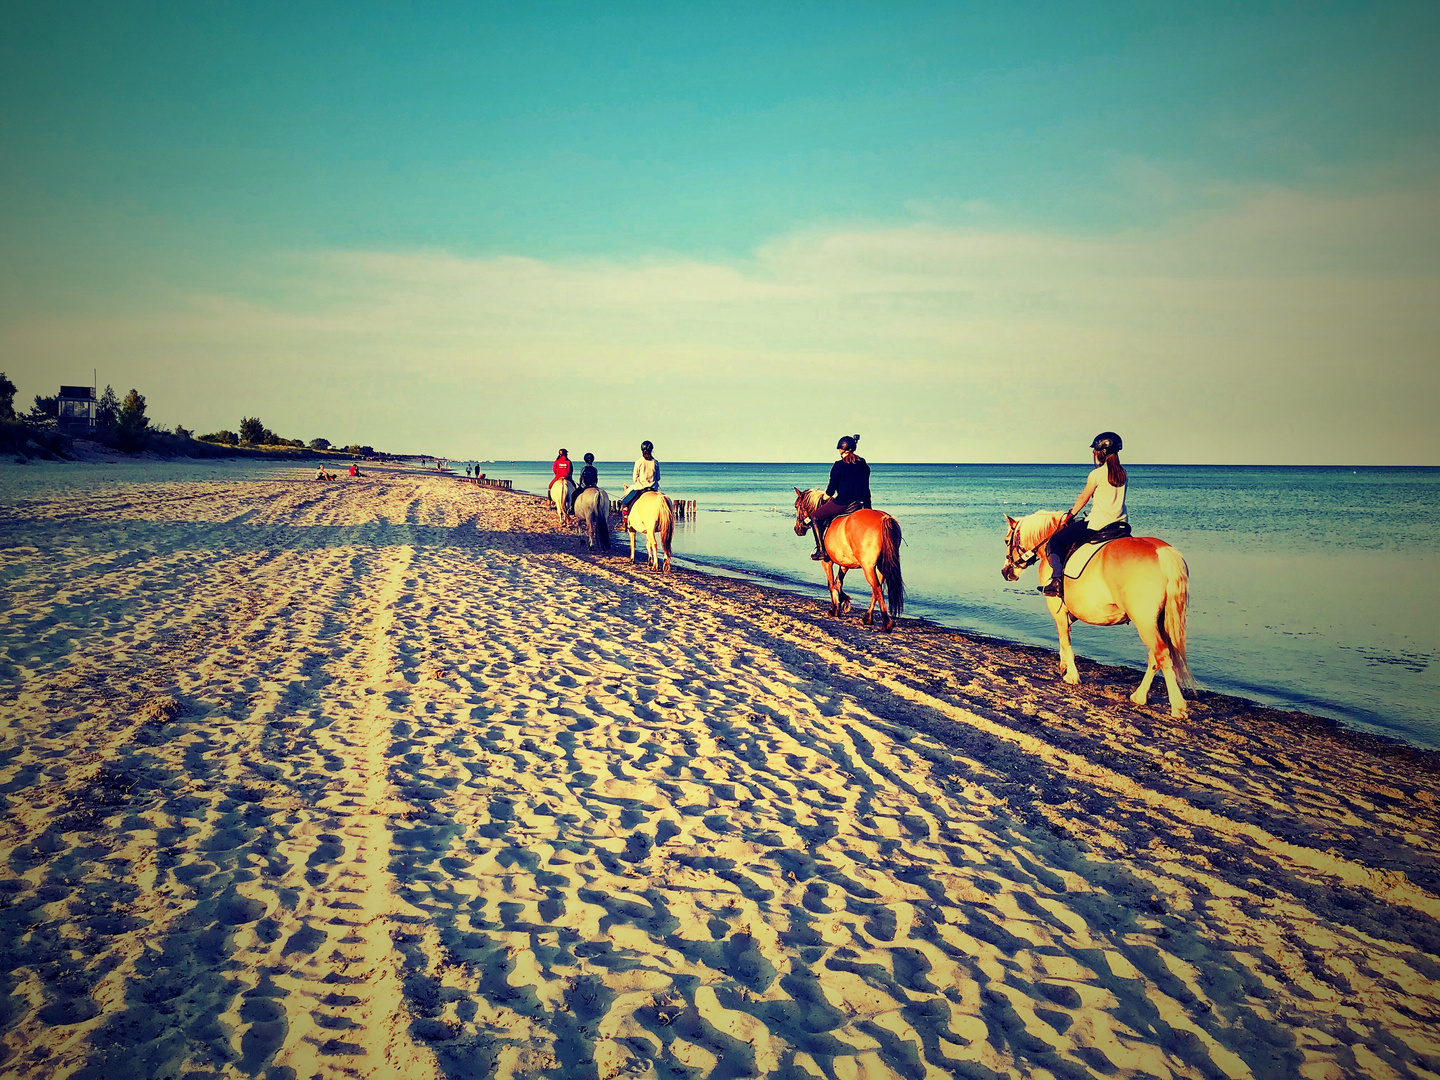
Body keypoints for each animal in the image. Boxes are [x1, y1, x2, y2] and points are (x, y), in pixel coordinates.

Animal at [794, 489, 904, 633]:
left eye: (796, 506)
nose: (797, 529)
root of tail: (884, 518)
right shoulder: (845, 562)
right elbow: (838, 582)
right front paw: (844, 600)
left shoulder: (827, 562)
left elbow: (831, 584)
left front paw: (835, 608)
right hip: (881, 566)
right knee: (876, 589)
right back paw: (868, 617)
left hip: (868, 567)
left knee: (876, 587)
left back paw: (886, 623)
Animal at [1002, 512, 1192, 720]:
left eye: (1006, 541)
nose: (1005, 572)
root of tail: (1162, 551)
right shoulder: (1070, 613)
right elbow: (1063, 637)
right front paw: (1064, 666)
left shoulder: (1058, 609)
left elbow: (1065, 640)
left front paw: (1072, 675)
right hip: (1158, 622)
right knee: (1155, 656)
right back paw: (1140, 696)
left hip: (1145, 623)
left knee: (1162, 654)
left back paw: (1177, 707)